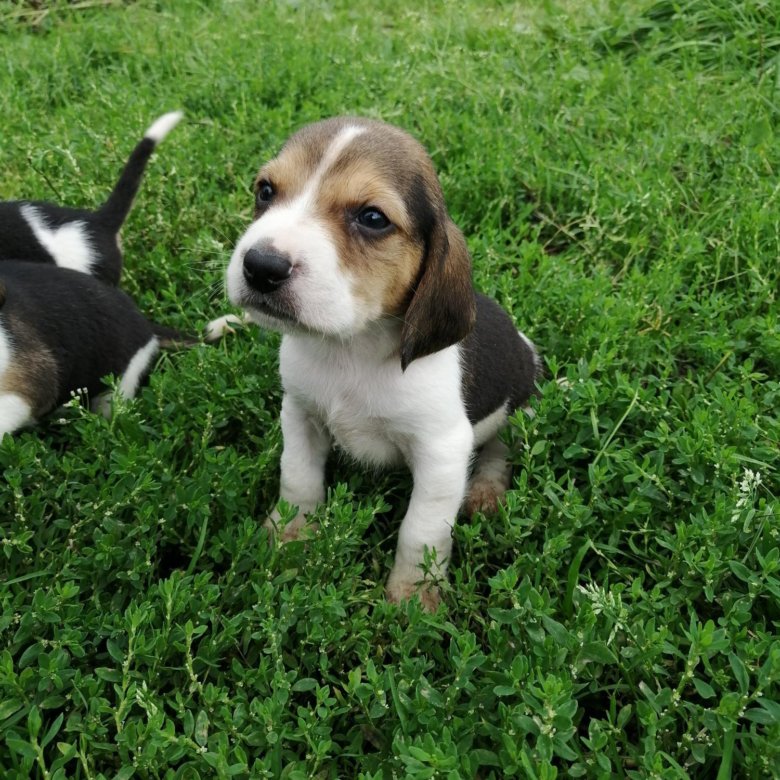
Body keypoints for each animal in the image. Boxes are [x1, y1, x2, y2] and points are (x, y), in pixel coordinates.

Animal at [225, 120, 544, 608]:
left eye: (373, 218)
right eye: (265, 190)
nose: (260, 266)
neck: (350, 349)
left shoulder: (442, 452)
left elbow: (421, 532)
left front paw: (413, 599)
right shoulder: (299, 413)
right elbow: (298, 480)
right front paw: (288, 539)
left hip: (520, 408)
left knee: (499, 450)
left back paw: (486, 491)